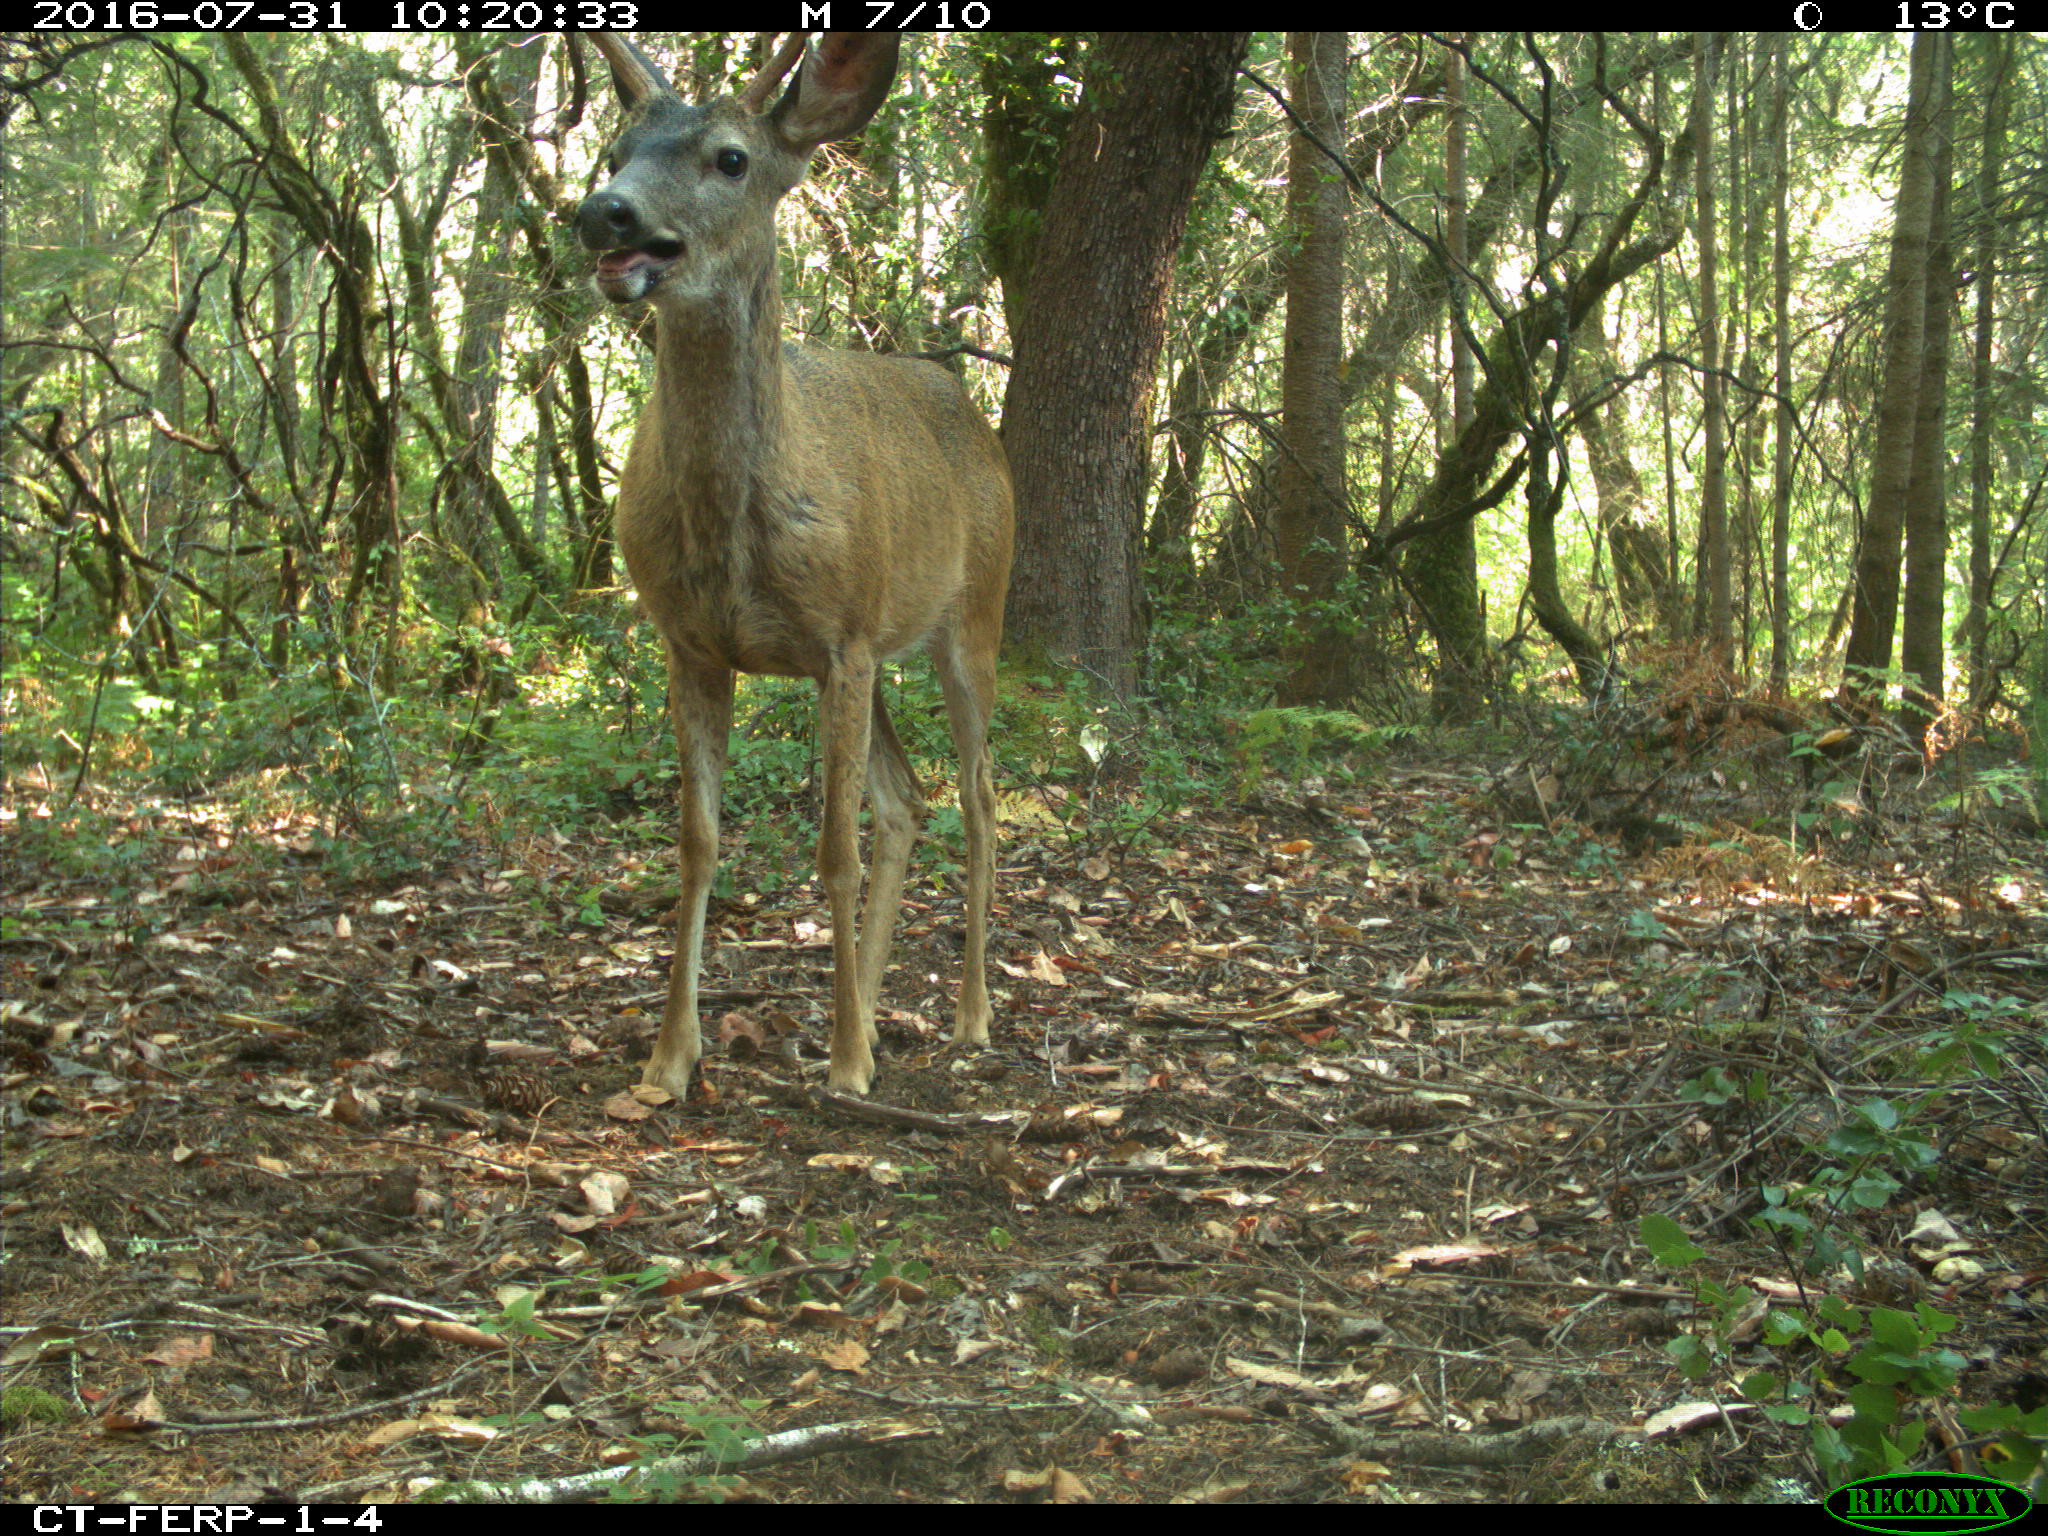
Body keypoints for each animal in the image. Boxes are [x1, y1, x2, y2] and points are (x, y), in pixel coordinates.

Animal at [581, 36, 1011, 1097]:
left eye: (732, 159)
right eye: (614, 148)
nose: (604, 211)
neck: (733, 533)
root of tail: (967, 399)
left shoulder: (841, 639)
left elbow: (831, 851)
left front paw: (850, 1066)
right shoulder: (695, 643)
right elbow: (697, 845)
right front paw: (668, 1059)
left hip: (972, 615)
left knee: (979, 798)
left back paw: (966, 1017)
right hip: (877, 646)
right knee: (908, 802)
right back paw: (868, 1008)